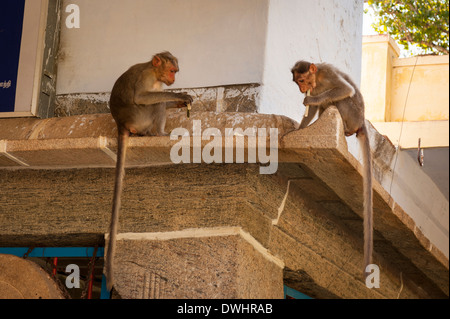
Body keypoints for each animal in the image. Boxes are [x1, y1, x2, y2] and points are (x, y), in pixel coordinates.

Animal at [106, 51, 192, 292]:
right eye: (172, 71)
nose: (173, 80)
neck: (154, 72)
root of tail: (121, 124)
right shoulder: (146, 78)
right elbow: (144, 97)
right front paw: (179, 94)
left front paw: (180, 101)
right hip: (139, 118)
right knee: (155, 104)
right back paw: (160, 133)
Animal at [292, 60, 372, 280]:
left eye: (302, 80)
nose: (301, 89)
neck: (317, 78)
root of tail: (361, 122)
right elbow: (311, 110)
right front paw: (298, 129)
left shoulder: (328, 75)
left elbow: (345, 89)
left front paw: (310, 99)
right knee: (327, 105)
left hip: (353, 114)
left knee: (340, 100)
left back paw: (344, 127)